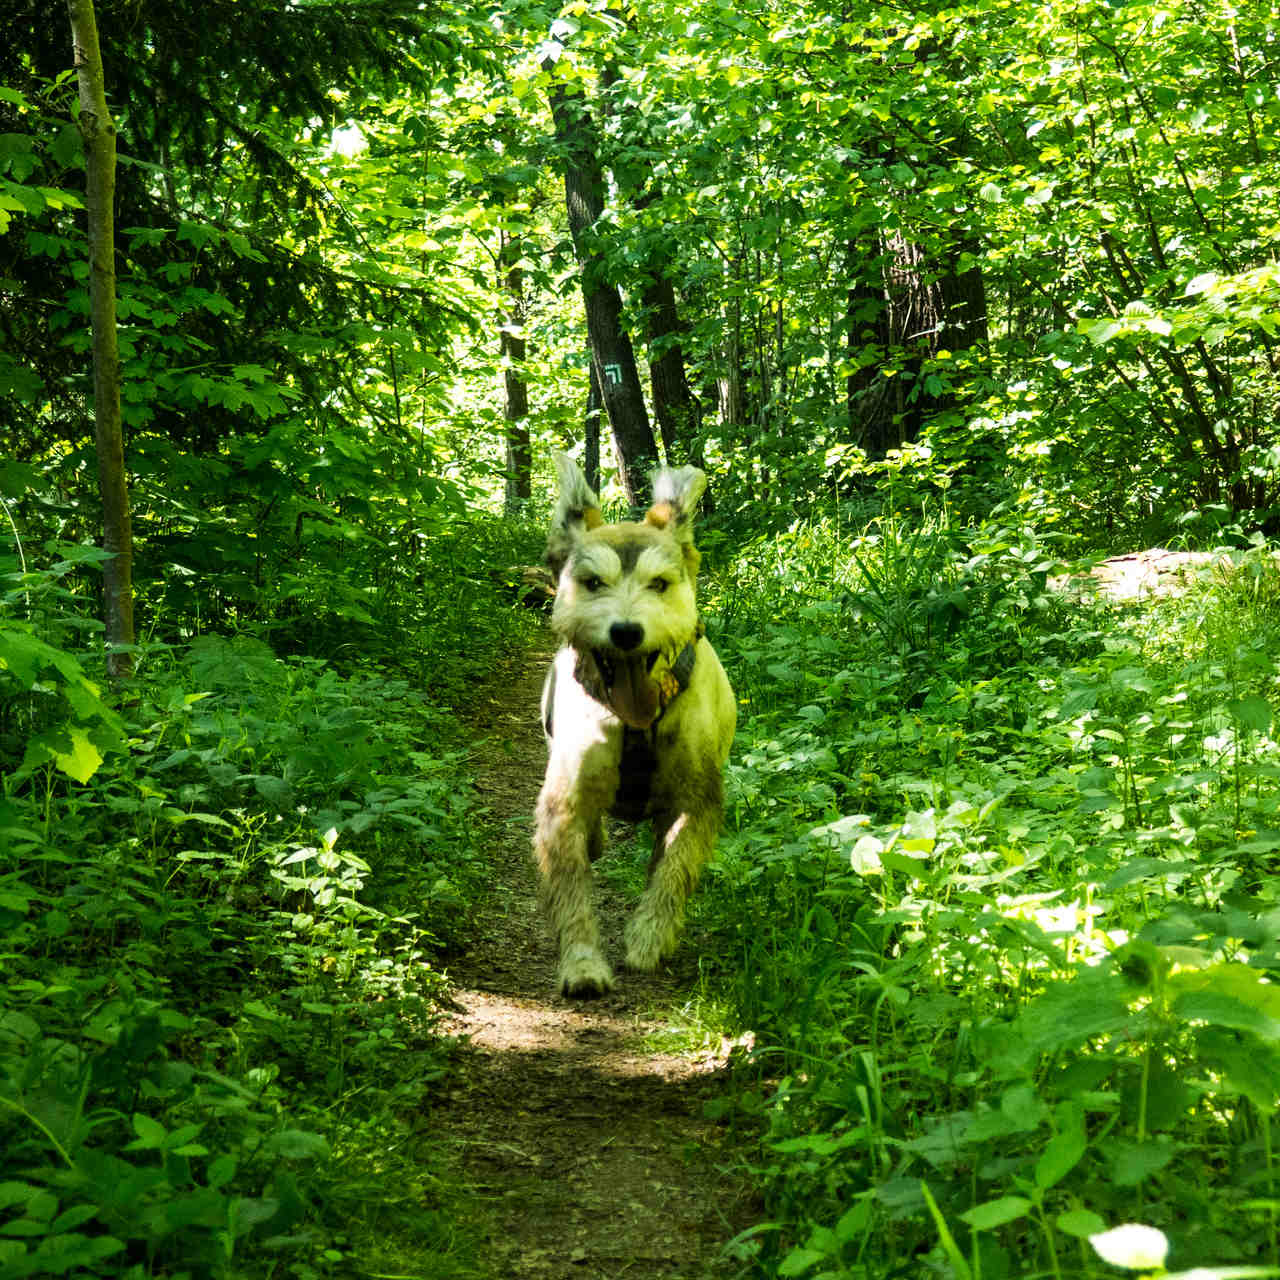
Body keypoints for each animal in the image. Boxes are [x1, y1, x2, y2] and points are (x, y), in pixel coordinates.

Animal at [534, 451, 736, 998]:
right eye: (592, 583)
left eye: (659, 584)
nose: (626, 631)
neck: (635, 721)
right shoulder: (565, 800)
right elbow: (571, 886)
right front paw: (583, 962)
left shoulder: (695, 798)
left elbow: (674, 866)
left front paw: (649, 937)